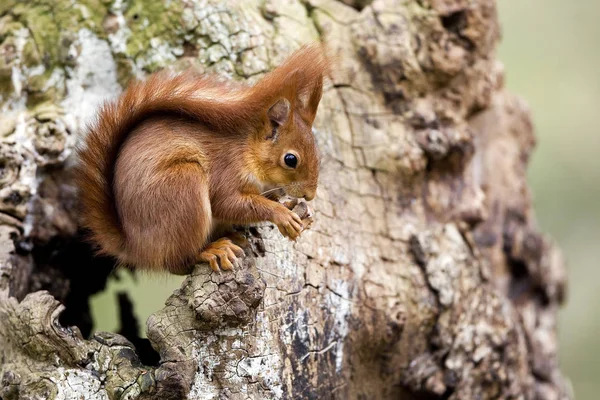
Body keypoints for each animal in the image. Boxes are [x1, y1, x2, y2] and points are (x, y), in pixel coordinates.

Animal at [77, 44, 328, 276]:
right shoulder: (226, 170)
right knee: (178, 263)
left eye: (318, 153)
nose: (310, 195)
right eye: (290, 159)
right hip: (182, 188)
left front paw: (293, 207)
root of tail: (136, 248)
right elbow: (229, 203)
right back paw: (212, 250)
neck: (247, 151)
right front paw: (282, 214)